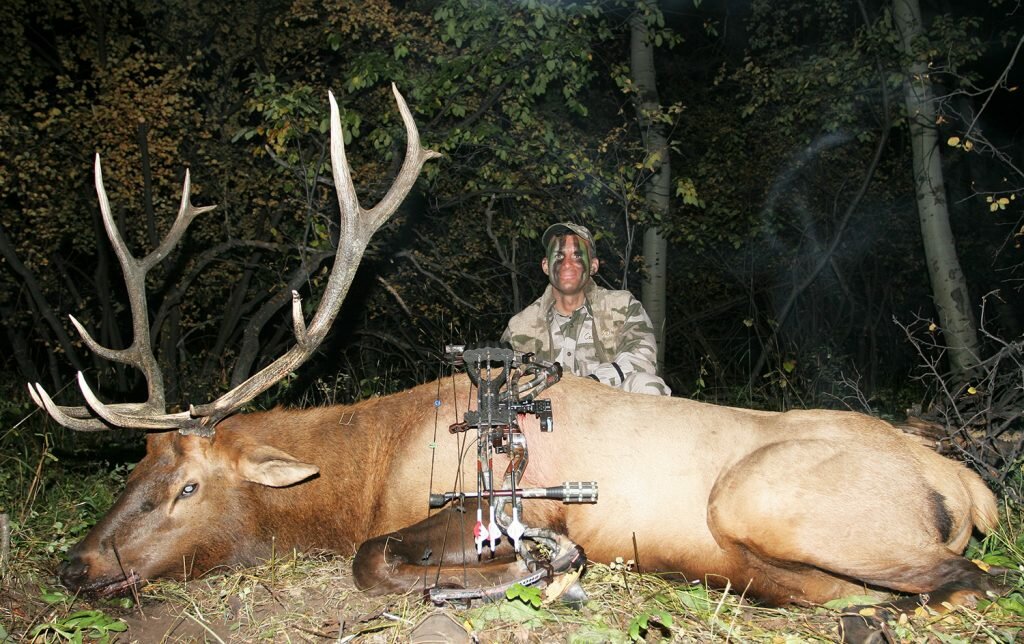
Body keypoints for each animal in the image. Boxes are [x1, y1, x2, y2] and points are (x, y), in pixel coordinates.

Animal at [29, 84, 1007, 643]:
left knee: (967, 580)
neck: (365, 470)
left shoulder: (485, 507)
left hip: (761, 496)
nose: (73, 566)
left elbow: (375, 560)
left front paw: (527, 573)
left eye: (188, 486)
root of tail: (967, 482)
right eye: (133, 467)